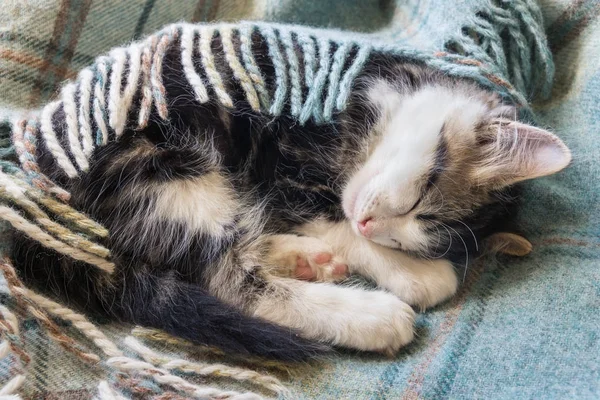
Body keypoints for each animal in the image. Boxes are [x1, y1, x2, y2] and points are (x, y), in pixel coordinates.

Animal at [11, 39, 568, 360]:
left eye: (410, 233)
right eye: (419, 200)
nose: (373, 228)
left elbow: (322, 214)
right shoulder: (283, 152)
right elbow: (328, 215)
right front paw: (412, 273)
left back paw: (302, 259)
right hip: (164, 162)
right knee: (230, 281)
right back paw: (369, 316)